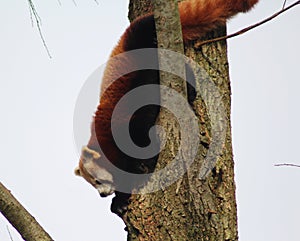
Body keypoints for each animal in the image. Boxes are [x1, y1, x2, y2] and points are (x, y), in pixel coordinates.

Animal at [74, 0, 258, 215]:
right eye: (93, 185)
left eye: (97, 180)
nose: (102, 195)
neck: (105, 138)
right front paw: (118, 202)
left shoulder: (126, 123)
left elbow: (144, 147)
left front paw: (137, 176)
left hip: (143, 46)